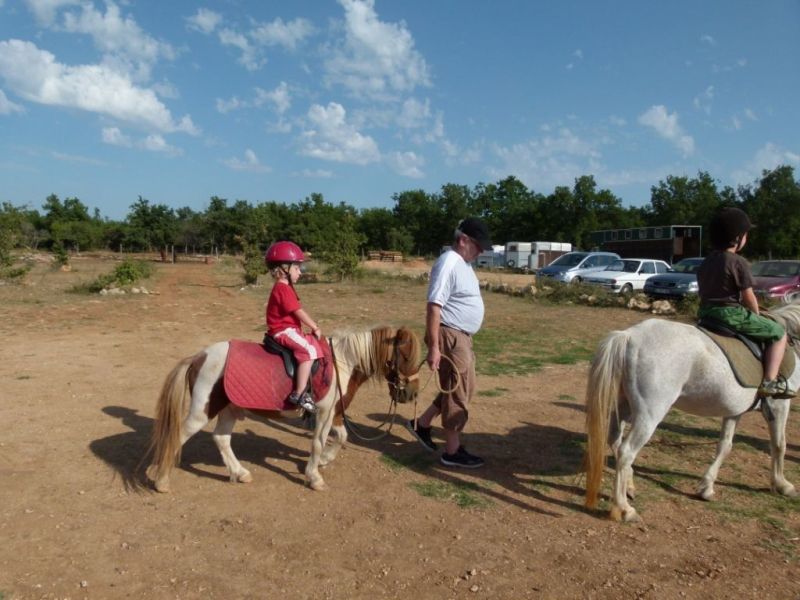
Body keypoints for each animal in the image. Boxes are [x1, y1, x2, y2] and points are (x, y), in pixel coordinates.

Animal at [145, 326, 422, 494]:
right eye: (407, 357)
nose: (412, 393)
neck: (343, 362)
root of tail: (198, 357)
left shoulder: (334, 414)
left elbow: (342, 437)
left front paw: (324, 461)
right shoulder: (324, 414)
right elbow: (318, 443)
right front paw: (314, 477)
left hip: (229, 409)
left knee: (221, 438)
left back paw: (240, 473)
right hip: (201, 412)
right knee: (178, 437)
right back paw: (161, 481)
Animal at [580, 302, 800, 524]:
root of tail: (630, 336)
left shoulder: (734, 411)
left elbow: (725, 446)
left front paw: (706, 488)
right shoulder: (779, 405)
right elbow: (779, 445)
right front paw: (783, 484)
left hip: (625, 406)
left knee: (615, 441)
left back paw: (629, 487)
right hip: (649, 414)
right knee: (626, 452)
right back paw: (625, 509)